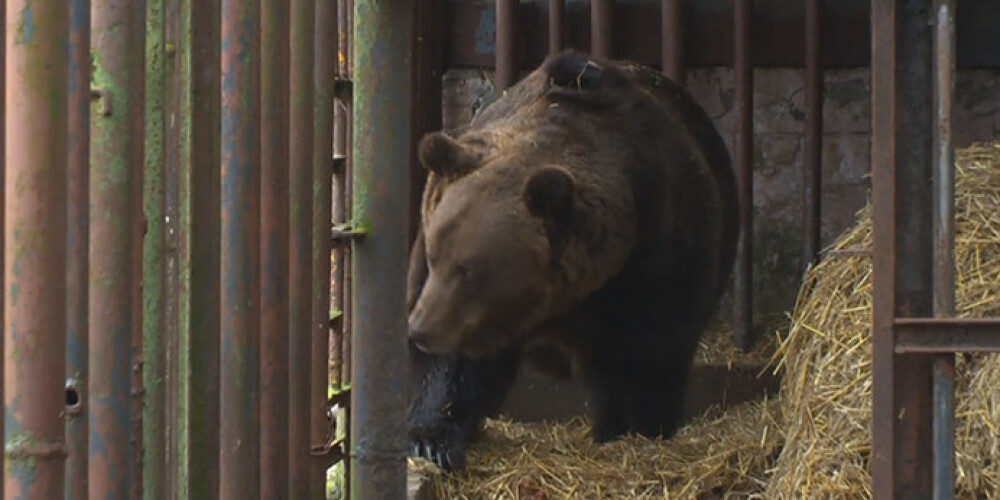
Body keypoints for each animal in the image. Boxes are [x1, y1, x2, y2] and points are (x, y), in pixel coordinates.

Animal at [402, 48, 740, 470]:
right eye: (435, 255)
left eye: (470, 270)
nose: (419, 329)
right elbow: (453, 368)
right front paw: (431, 441)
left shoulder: (656, 251)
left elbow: (646, 356)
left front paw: (637, 430)